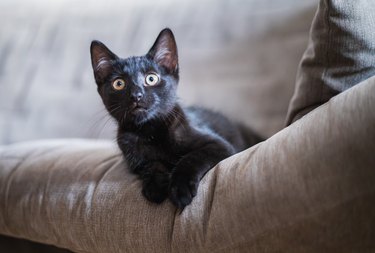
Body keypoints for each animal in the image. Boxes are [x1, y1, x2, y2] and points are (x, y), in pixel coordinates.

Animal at [91, 28, 262, 209]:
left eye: (151, 78)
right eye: (119, 84)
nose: (136, 95)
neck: (151, 131)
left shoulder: (219, 145)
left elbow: (192, 157)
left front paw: (180, 188)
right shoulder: (135, 159)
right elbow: (151, 165)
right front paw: (155, 185)